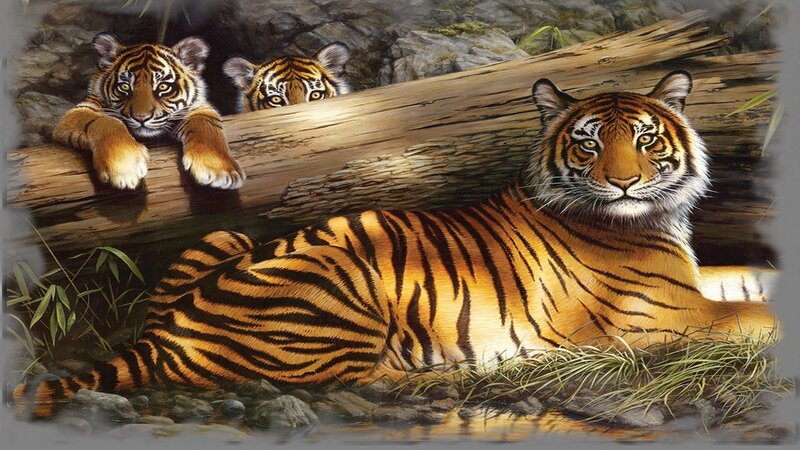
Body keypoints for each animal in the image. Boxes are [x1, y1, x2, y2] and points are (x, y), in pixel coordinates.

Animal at [13, 71, 778, 418]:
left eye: (646, 139)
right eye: (589, 144)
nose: (623, 182)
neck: (655, 219)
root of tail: (162, 334)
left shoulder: (692, 282)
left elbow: (752, 277)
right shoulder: (669, 314)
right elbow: (755, 315)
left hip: (224, 234)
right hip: (345, 290)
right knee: (348, 381)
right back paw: (478, 373)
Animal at [52, 32, 245, 190]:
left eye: (163, 87)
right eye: (124, 86)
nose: (141, 118)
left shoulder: (200, 108)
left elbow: (207, 127)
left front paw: (220, 171)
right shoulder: (80, 110)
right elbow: (106, 121)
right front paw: (125, 166)